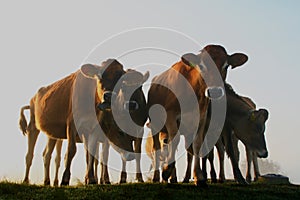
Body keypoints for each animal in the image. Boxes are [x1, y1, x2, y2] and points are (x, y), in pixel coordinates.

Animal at [18, 59, 148, 186]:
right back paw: (26, 180)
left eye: (120, 82)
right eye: (99, 76)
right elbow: (71, 151)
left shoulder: (93, 129)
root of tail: (34, 97)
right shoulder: (72, 125)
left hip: (52, 134)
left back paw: (47, 181)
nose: (108, 96)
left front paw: (91, 179)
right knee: (30, 155)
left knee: (47, 155)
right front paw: (65, 179)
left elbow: (92, 154)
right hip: (33, 126)